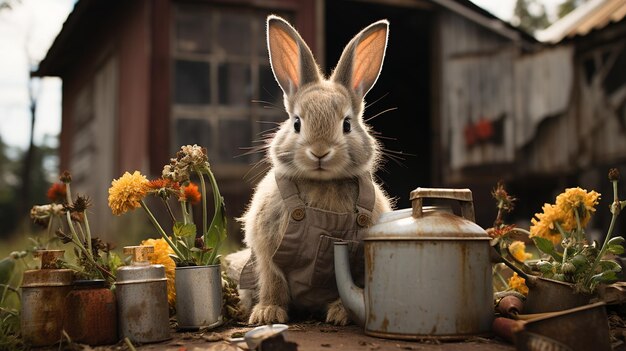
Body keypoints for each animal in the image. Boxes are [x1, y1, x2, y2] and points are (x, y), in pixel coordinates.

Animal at [236, 14, 392, 328]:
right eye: (297, 123)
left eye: (347, 124)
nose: (320, 151)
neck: (322, 182)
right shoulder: (267, 251)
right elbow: (272, 280)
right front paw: (267, 314)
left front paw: (341, 314)